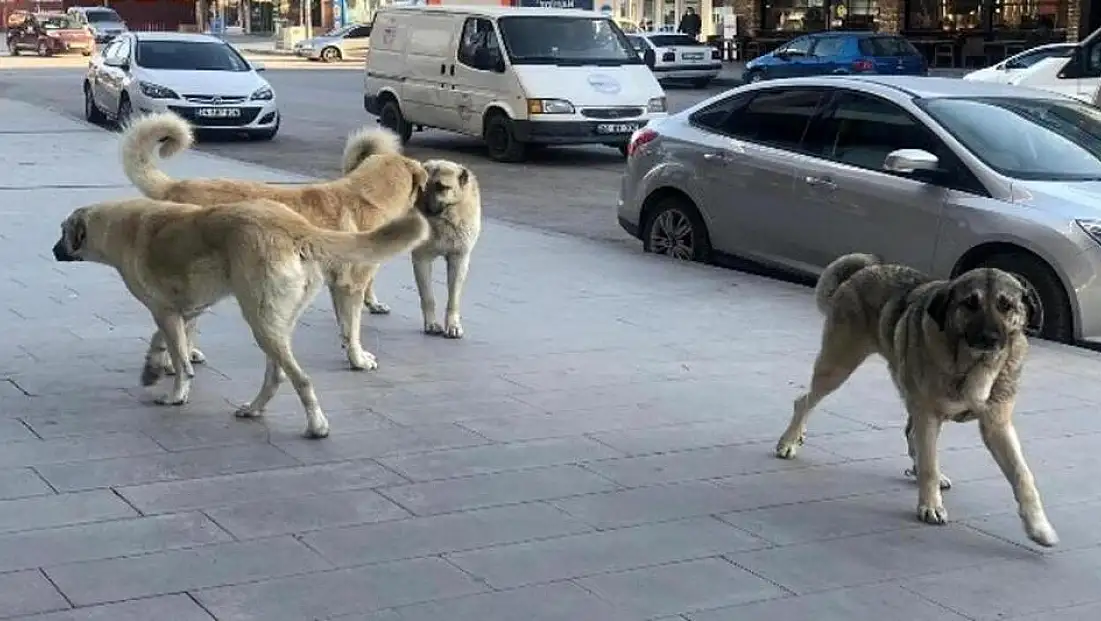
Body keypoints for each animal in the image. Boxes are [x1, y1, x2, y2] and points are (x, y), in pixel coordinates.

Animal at [53, 198, 427, 436]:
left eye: (62, 231)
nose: (54, 250)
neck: (117, 227)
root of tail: (296, 226)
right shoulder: (185, 309)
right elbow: (168, 342)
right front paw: (153, 368)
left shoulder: (165, 311)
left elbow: (180, 359)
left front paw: (176, 393)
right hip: (274, 322)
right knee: (276, 375)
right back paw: (255, 408)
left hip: (260, 321)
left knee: (301, 379)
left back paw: (316, 426)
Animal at [122, 112, 424, 372]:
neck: (367, 195)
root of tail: (174, 187)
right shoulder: (352, 286)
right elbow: (353, 328)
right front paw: (358, 359)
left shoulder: (338, 285)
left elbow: (344, 326)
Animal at [341, 153, 480, 341]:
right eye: (423, 187)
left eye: (442, 187)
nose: (423, 210)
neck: (444, 220)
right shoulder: (422, 259)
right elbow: (428, 297)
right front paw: (431, 324)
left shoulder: (459, 259)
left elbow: (453, 299)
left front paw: (453, 325)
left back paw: (372, 304)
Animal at [775, 252, 1056, 548]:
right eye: (970, 303)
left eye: (1006, 306)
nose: (989, 339)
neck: (974, 365)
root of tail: (866, 268)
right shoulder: (928, 414)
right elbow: (929, 465)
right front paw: (930, 505)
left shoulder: (996, 425)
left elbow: (1022, 475)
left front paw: (1038, 526)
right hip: (838, 365)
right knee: (804, 400)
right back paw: (790, 440)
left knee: (911, 434)